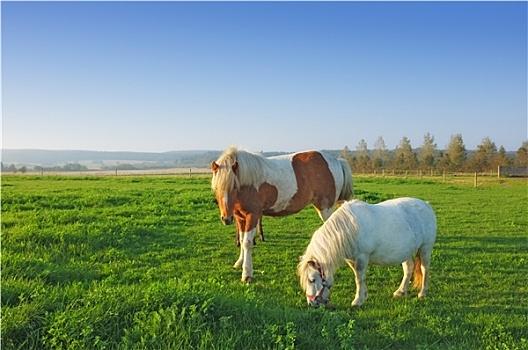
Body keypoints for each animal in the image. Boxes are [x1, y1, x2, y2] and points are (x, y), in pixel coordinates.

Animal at [211, 146, 354, 284]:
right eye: (216, 188)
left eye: (234, 186)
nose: (226, 219)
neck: (248, 182)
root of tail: (337, 161)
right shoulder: (240, 217)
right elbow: (241, 240)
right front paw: (239, 263)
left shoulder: (253, 216)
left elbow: (247, 243)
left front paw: (246, 274)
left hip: (325, 209)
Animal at [296, 198, 438, 308]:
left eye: (312, 280)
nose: (311, 304)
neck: (349, 228)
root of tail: (426, 205)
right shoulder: (352, 259)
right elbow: (358, 277)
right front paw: (363, 295)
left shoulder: (362, 257)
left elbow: (359, 278)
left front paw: (357, 301)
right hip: (405, 251)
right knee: (409, 268)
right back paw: (400, 291)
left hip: (425, 248)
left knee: (424, 269)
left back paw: (422, 293)